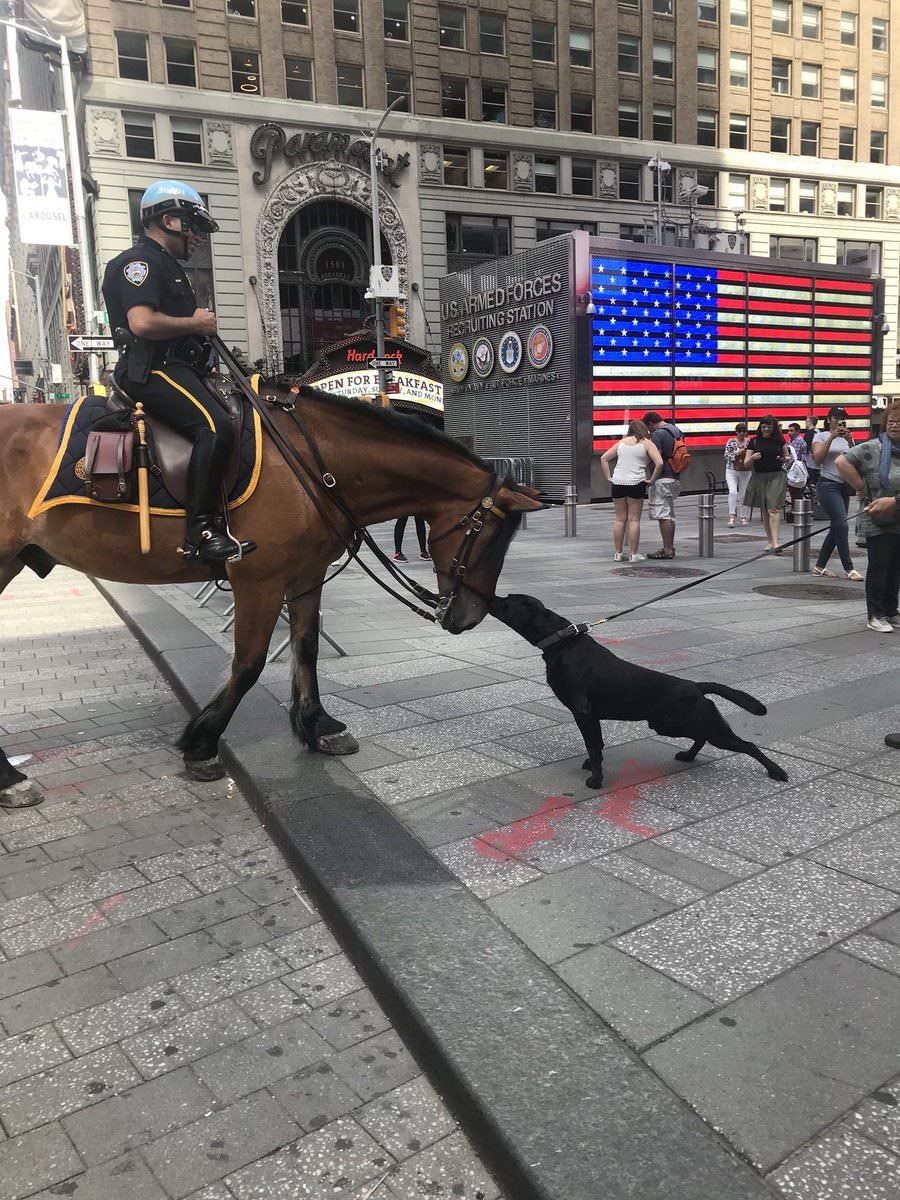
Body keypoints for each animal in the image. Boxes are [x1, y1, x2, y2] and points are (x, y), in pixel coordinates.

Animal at [0, 386, 542, 806]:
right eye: (490, 537)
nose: (469, 616)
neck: (311, 462)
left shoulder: (305, 573)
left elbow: (307, 648)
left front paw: (318, 726)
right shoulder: (257, 581)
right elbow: (249, 663)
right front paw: (202, 743)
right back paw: (11, 779)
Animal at [489, 592, 787, 787]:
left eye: (507, 601)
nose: (490, 594)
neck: (561, 641)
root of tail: (696, 686)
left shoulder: (583, 711)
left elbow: (593, 746)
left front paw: (596, 779)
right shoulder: (590, 716)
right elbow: (596, 744)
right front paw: (593, 768)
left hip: (698, 726)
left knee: (747, 745)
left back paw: (777, 772)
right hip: (672, 724)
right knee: (702, 737)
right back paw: (688, 756)